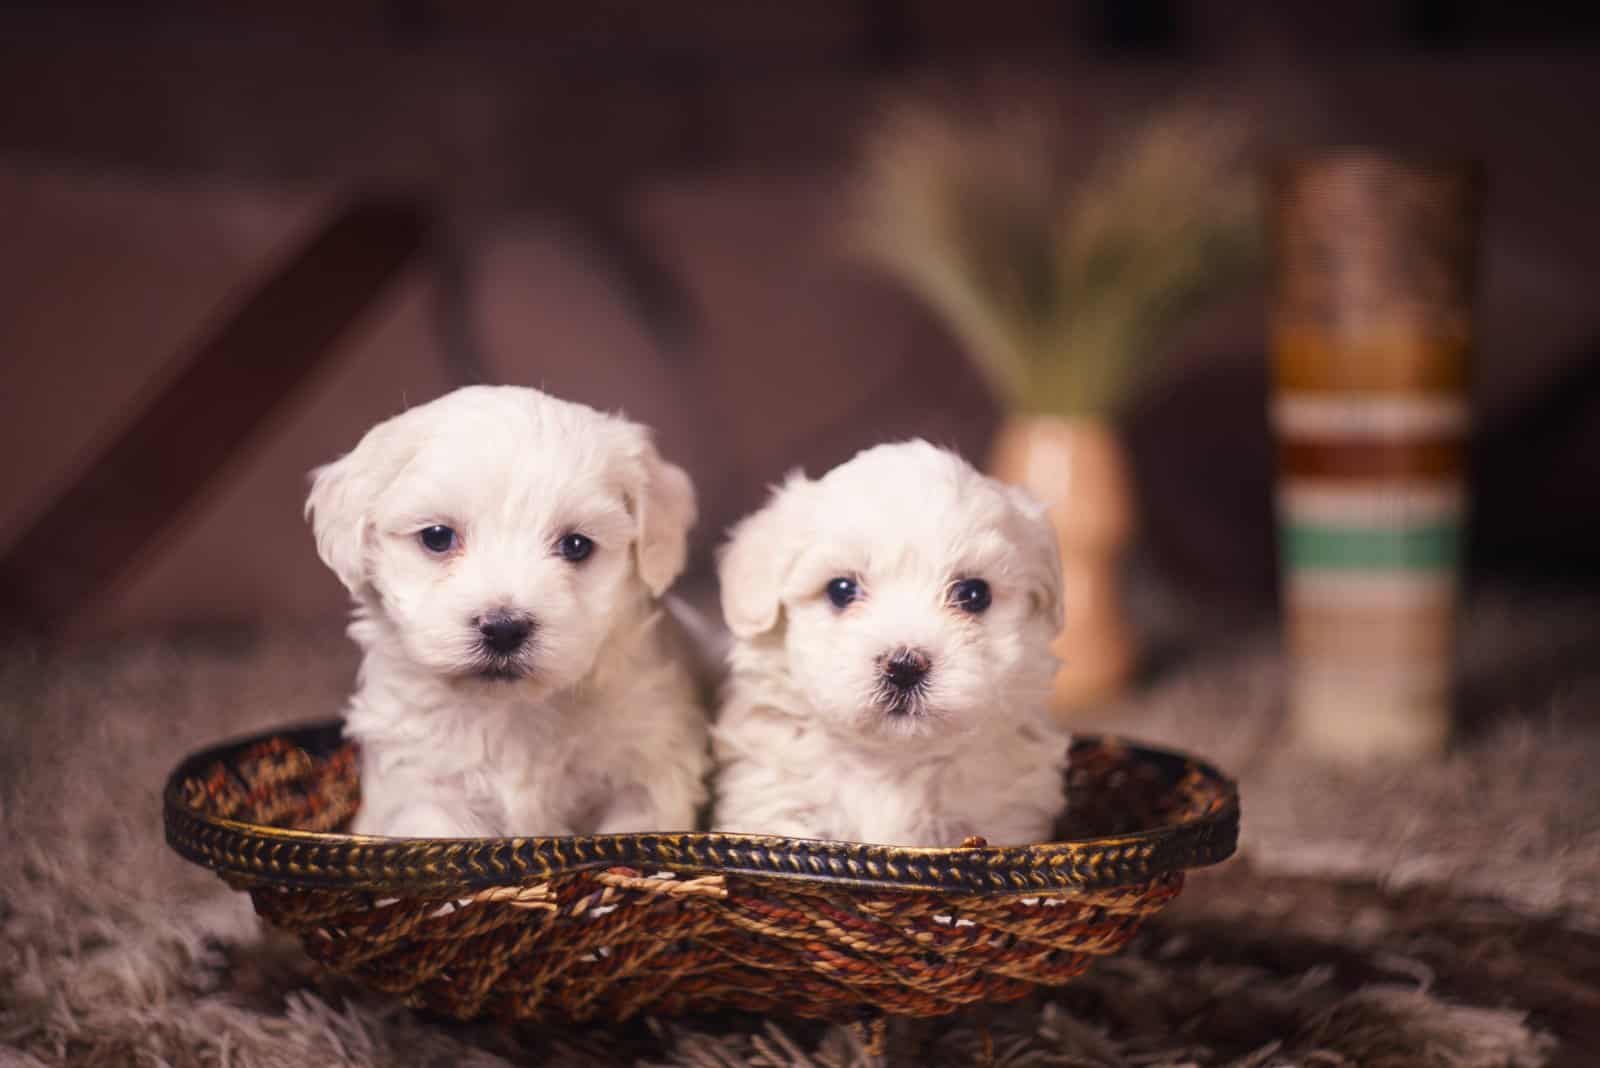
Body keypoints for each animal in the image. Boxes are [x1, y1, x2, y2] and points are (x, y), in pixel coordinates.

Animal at [308, 385, 710, 844]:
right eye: (437, 537)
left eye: (577, 545)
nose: (503, 629)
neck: (512, 711)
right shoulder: (425, 785)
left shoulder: (646, 770)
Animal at [710, 438, 1062, 844]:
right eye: (841, 590)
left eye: (974, 594)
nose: (905, 666)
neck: (890, 761)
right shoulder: (777, 804)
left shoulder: (1002, 821)